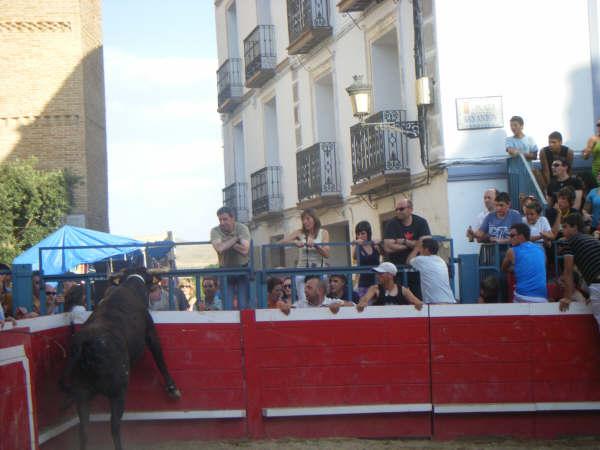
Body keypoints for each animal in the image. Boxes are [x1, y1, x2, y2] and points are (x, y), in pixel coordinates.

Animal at [61, 270, 184, 450]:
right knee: (114, 427)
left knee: (84, 431)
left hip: (82, 393)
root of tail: (86, 343)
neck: (131, 285)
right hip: (117, 392)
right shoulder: (151, 332)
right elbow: (159, 358)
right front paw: (172, 388)